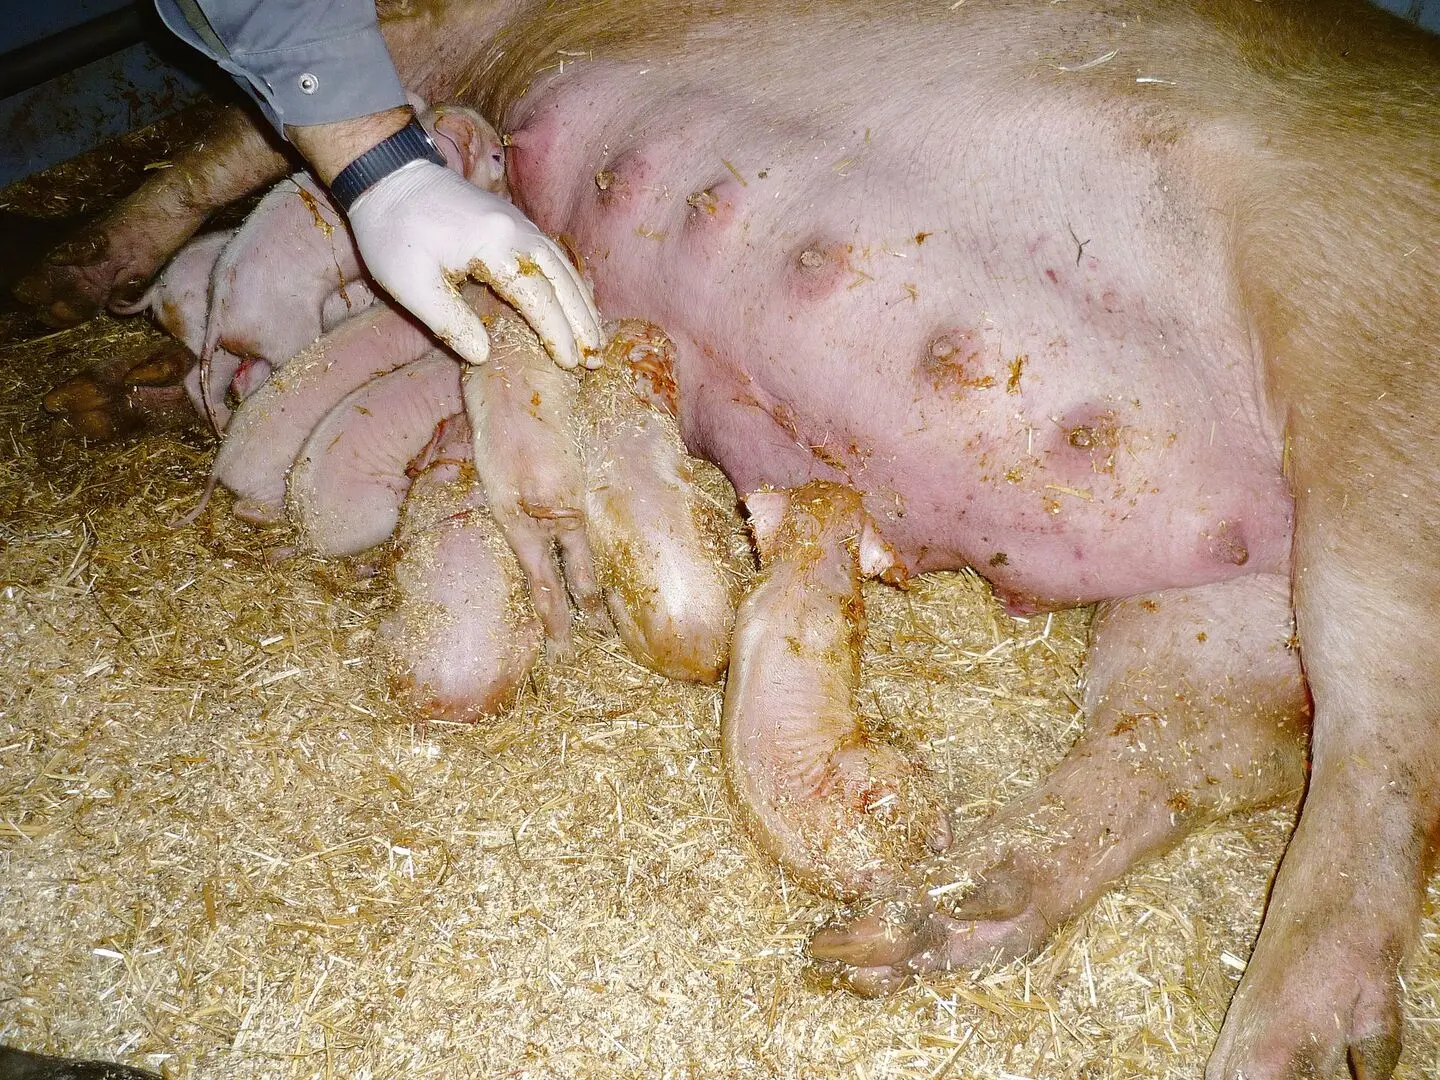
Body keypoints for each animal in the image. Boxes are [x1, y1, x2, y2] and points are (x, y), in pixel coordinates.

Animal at [17, 2, 1440, 1076]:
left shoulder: (421, 26)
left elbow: (214, 146)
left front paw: (42, 284)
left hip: (1376, 412)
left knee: (1374, 770)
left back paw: (1280, 1050)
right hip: (1232, 574)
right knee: (1194, 741)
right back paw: (881, 944)